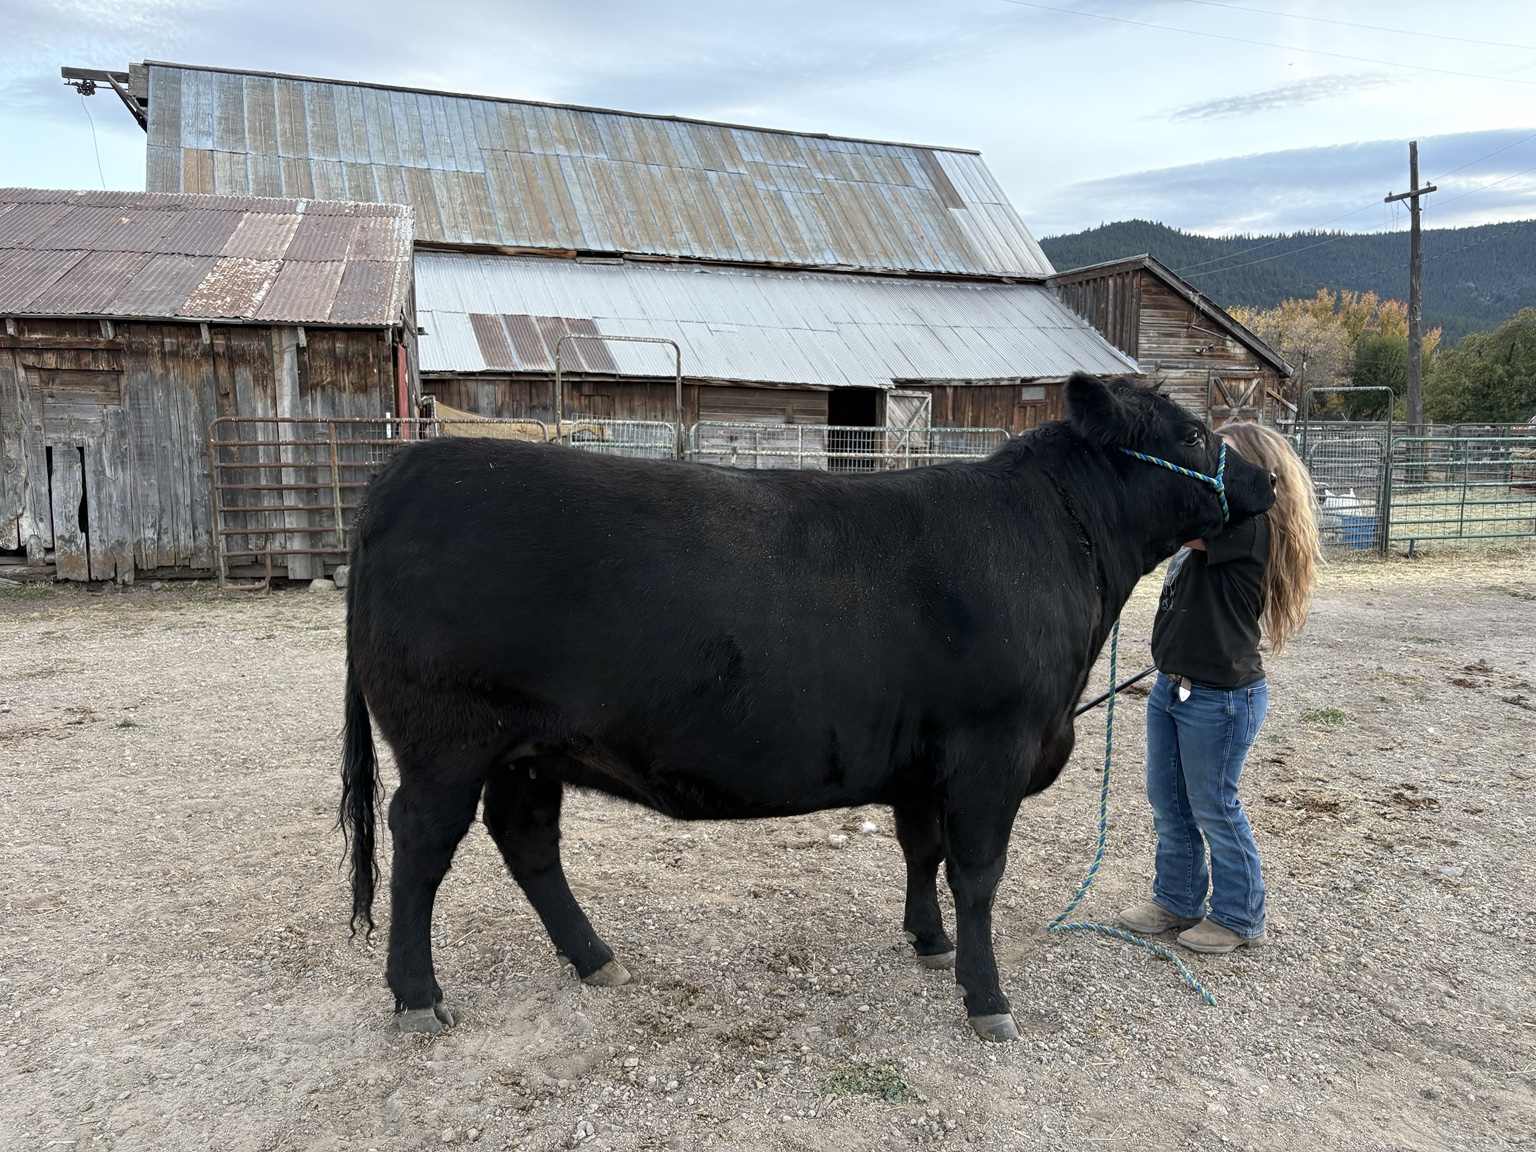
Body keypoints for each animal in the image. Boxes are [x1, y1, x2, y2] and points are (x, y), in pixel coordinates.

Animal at [339, 373, 1276, 1041]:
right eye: (1195, 435)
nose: (1267, 478)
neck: (1059, 542)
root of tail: (404, 471)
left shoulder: (922, 760)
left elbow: (921, 852)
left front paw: (928, 942)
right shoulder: (992, 748)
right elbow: (977, 875)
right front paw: (986, 998)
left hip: (528, 748)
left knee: (527, 841)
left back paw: (594, 957)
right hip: (448, 740)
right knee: (420, 846)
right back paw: (418, 997)